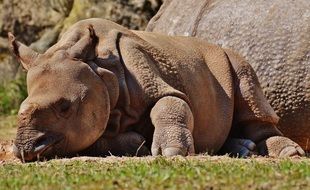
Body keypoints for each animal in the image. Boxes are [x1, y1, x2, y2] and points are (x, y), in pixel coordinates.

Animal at [9, 18, 302, 162]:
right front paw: (138, 143)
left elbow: (169, 102)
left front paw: (172, 152)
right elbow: (97, 139)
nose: (24, 150)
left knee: (248, 89)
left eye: (65, 107)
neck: (101, 72)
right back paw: (245, 150)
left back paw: (289, 154)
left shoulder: (150, 76)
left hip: (233, 61)